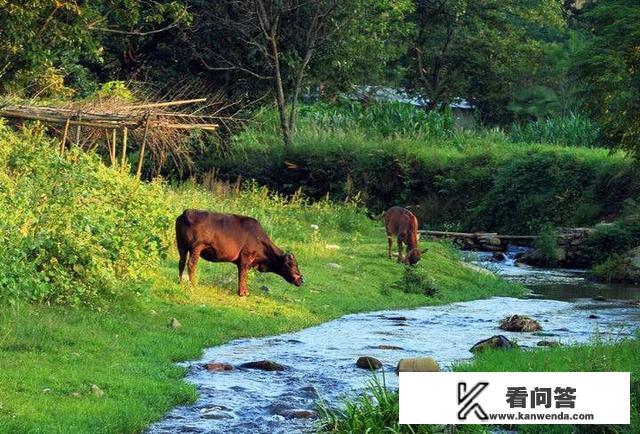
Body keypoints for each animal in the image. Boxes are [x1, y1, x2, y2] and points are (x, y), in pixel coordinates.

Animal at [175, 209, 304, 296]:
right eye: (293, 264)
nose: (302, 280)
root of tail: (187, 211)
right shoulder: (246, 257)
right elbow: (243, 274)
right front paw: (243, 293)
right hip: (196, 247)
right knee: (191, 264)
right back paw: (192, 284)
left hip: (181, 244)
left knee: (181, 262)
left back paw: (180, 281)